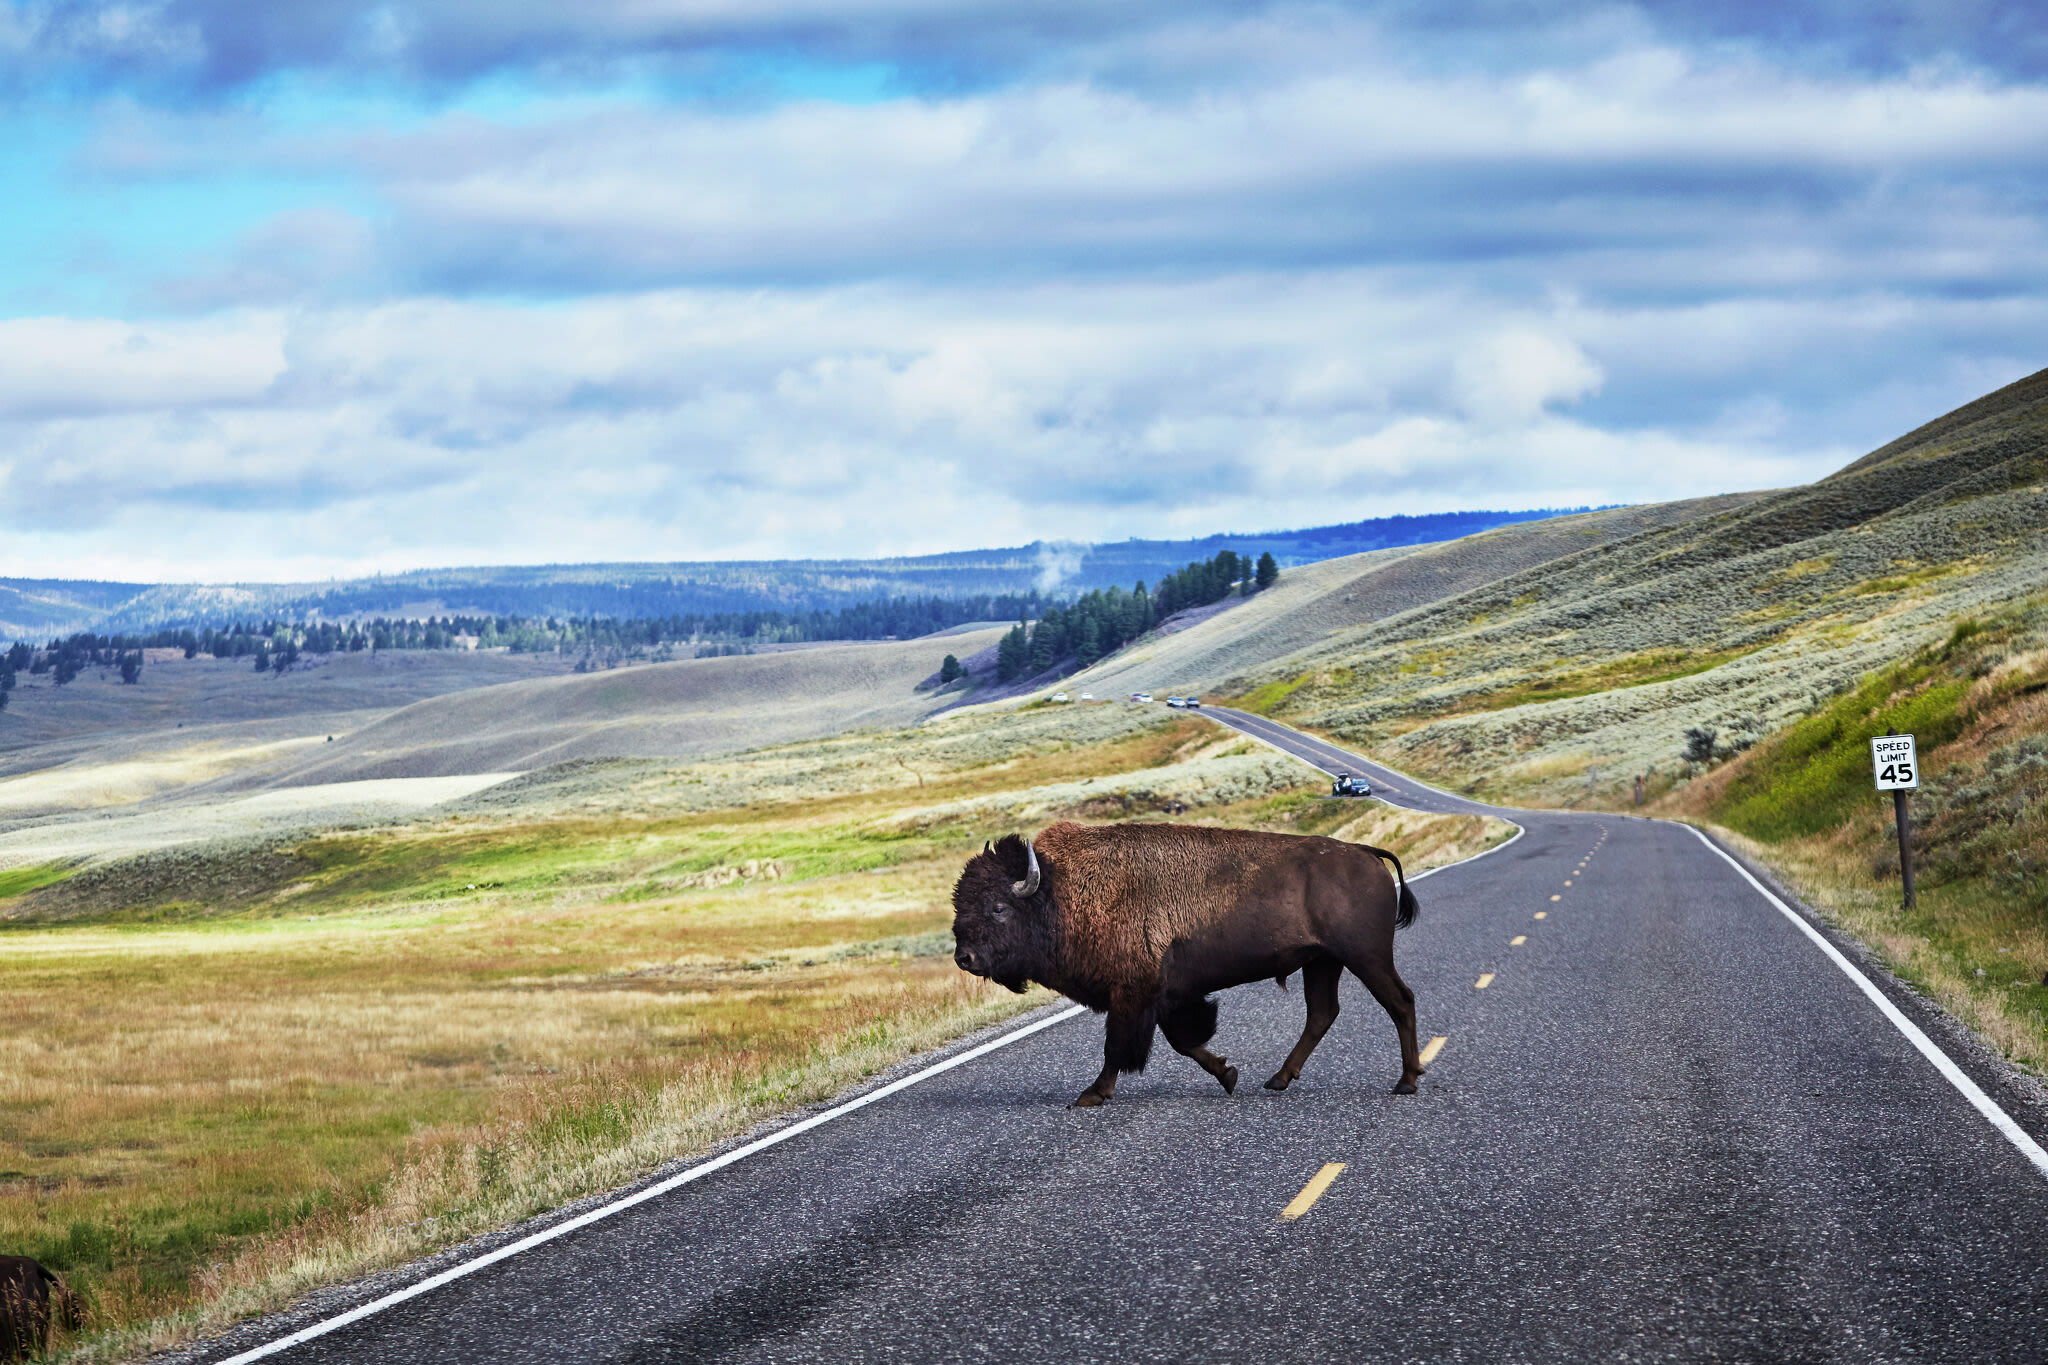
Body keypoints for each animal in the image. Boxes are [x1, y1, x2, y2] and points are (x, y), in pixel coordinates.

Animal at [946, 822, 1417, 1096]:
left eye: (998, 907)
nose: (964, 958)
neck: (1058, 892)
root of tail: (1364, 852)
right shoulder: (1166, 996)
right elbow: (1184, 1041)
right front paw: (1228, 1075)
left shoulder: (1134, 996)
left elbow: (1119, 1047)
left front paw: (1092, 1095)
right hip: (1322, 962)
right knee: (1322, 1013)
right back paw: (1278, 1079)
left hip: (1366, 957)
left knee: (1399, 1001)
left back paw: (1407, 1081)